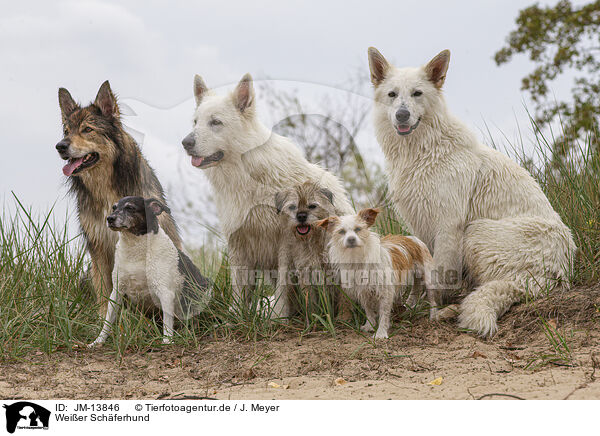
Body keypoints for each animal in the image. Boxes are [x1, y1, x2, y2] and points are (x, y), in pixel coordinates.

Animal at [56, 82, 183, 314]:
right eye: (66, 131)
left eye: (87, 129)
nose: (60, 146)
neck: (106, 188)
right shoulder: (99, 247)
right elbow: (104, 292)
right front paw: (104, 319)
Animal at [87, 196, 211, 346]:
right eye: (114, 208)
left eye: (130, 208)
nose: (110, 218)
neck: (136, 251)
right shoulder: (117, 291)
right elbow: (107, 322)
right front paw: (98, 341)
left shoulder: (165, 293)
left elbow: (167, 324)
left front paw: (167, 342)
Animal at [272, 182, 338, 322]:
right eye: (293, 207)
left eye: (312, 206)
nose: (301, 216)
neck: (310, 241)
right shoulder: (305, 272)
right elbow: (311, 300)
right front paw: (314, 318)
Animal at [366, 46, 576, 338]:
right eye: (392, 94)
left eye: (417, 93)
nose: (402, 115)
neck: (423, 150)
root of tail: (554, 272)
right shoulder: (421, 224)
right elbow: (423, 270)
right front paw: (414, 304)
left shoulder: (448, 224)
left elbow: (438, 275)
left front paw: (431, 309)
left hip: (476, 231)